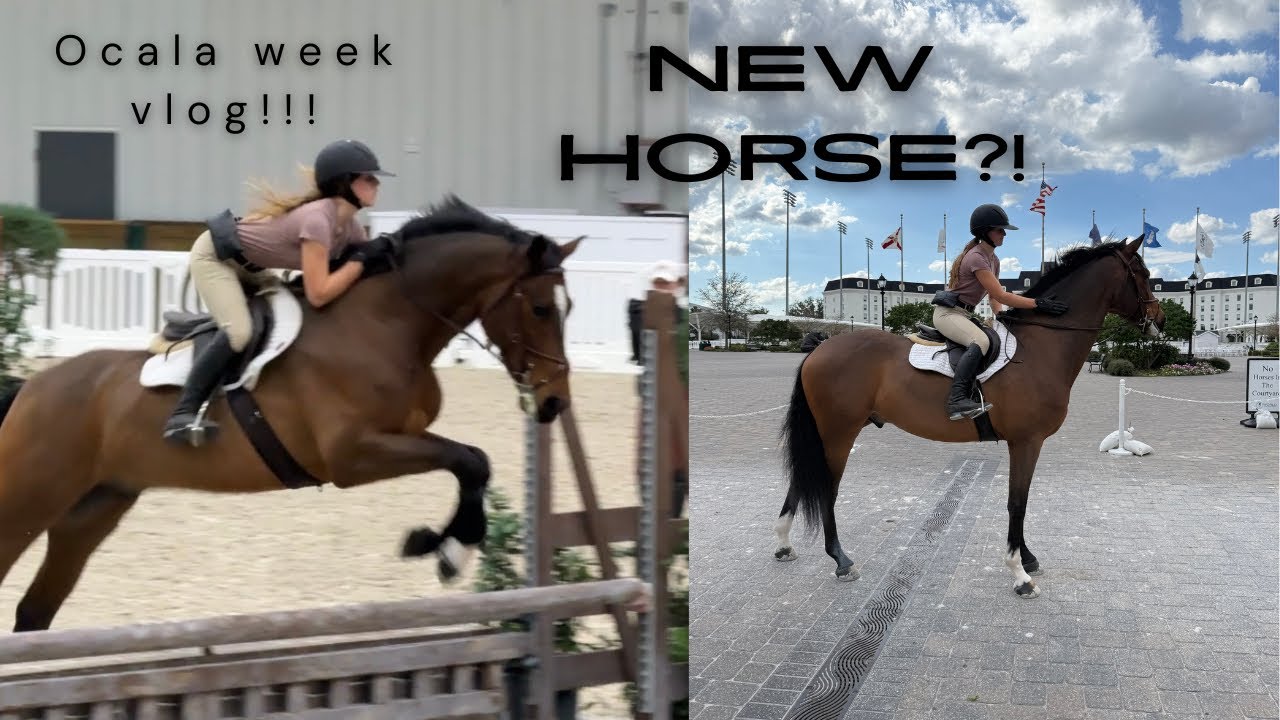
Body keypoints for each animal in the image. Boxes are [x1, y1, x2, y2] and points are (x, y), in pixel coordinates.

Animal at [0, 196, 582, 632]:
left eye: (569, 308)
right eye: (539, 308)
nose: (554, 402)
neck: (385, 323)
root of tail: (31, 389)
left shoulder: (405, 435)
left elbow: (471, 461)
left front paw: (441, 544)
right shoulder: (352, 455)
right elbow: (468, 459)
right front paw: (445, 550)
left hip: (93, 508)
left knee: (34, 612)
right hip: (29, 500)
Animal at [775, 236, 1165, 598]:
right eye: (1143, 275)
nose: (1160, 320)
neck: (1040, 347)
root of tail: (820, 348)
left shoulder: (1024, 443)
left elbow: (1019, 501)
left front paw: (1027, 559)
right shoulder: (1026, 442)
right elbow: (1017, 503)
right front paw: (1019, 574)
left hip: (827, 434)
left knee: (804, 480)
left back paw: (783, 544)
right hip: (838, 433)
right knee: (826, 489)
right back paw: (841, 560)